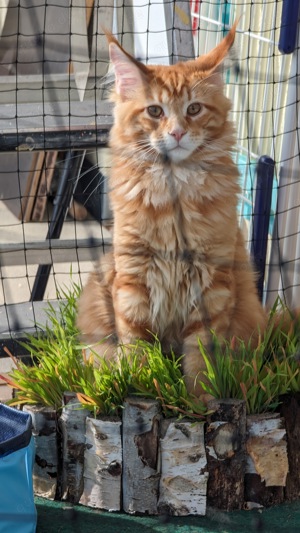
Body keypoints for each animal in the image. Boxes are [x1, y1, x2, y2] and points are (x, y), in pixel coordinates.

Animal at [77, 25, 268, 400]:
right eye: (154, 111)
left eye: (194, 109)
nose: (177, 132)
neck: (174, 192)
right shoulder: (133, 277)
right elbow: (136, 345)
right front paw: (138, 386)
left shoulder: (212, 283)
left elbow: (200, 352)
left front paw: (199, 400)